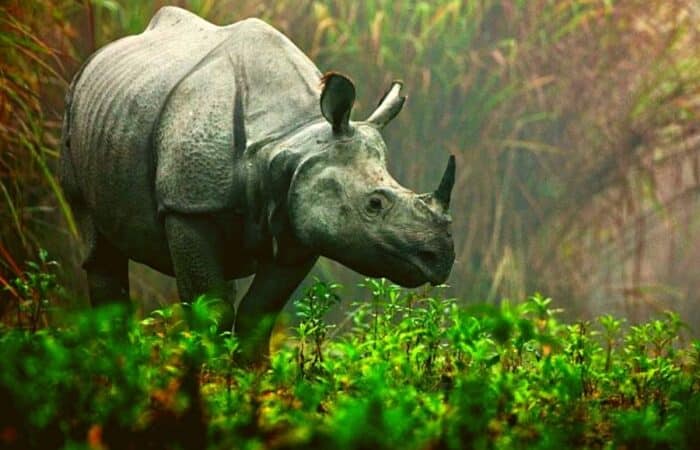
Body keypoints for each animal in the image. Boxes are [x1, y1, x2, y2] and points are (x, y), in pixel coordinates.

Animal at [60, 6, 455, 363]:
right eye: (374, 204)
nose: (440, 257)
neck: (288, 142)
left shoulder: (298, 217)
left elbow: (257, 313)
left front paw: (251, 379)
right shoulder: (187, 207)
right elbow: (211, 307)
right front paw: (212, 376)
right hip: (74, 109)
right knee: (95, 236)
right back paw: (114, 361)